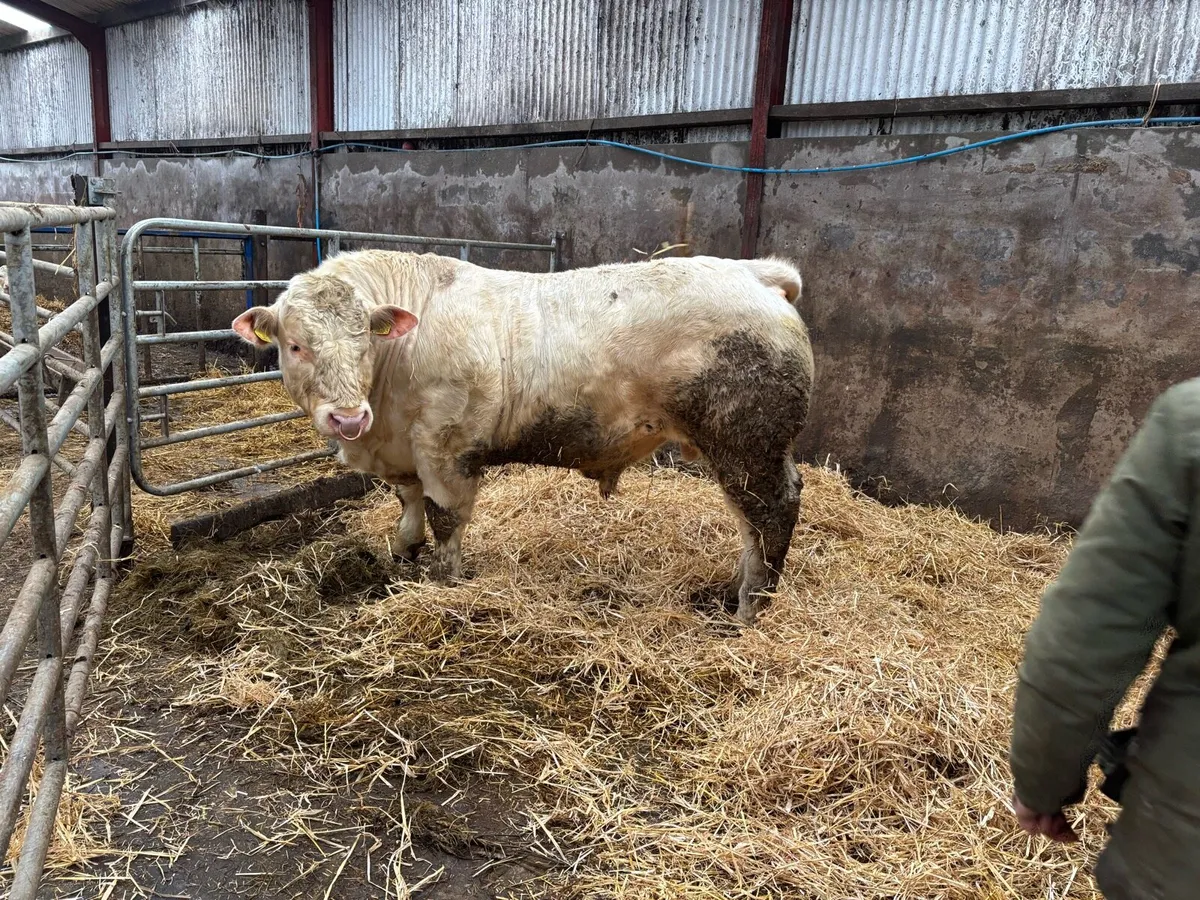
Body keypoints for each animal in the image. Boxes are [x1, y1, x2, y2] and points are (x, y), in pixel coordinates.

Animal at [232, 250, 814, 624]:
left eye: (364, 341)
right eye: (295, 345)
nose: (348, 418)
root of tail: (756, 274)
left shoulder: (446, 447)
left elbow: (446, 520)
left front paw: (445, 582)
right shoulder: (405, 451)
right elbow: (408, 503)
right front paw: (403, 552)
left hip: (747, 443)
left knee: (771, 512)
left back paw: (749, 609)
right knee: (750, 525)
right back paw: (733, 594)